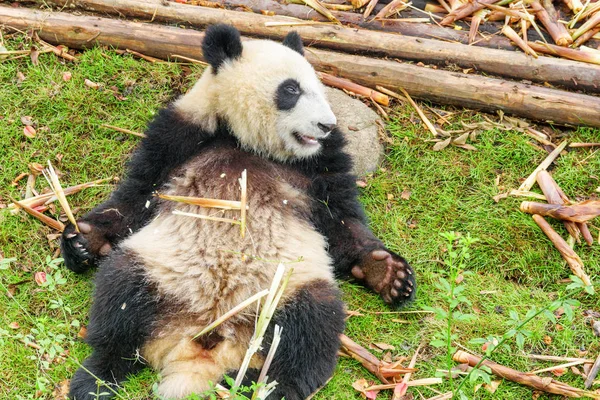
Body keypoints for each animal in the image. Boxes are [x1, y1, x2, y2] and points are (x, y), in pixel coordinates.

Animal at [62, 25, 418, 400]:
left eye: (319, 88)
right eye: (291, 90)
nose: (326, 125)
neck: (247, 142)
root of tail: (207, 340)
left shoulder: (319, 163)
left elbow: (341, 220)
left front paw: (387, 273)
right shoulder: (181, 133)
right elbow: (137, 195)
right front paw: (84, 240)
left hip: (286, 291)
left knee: (312, 330)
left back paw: (266, 385)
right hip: (157, 268)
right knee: (118, 300)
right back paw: (95, 378)